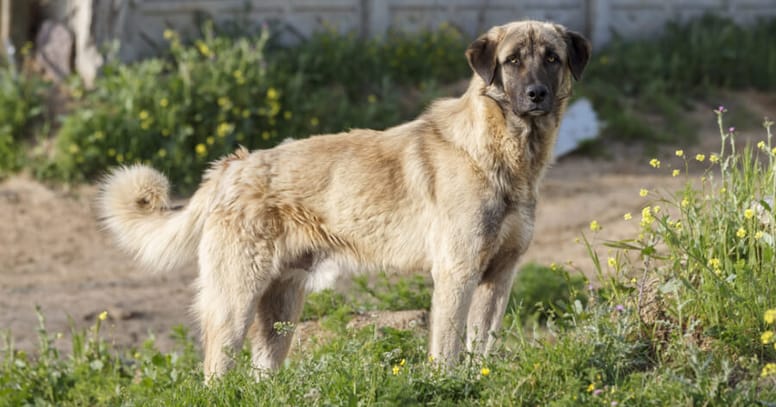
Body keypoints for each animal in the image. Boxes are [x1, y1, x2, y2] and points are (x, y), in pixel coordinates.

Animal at [100, 19, 592, 382]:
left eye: (552, 59)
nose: (536, 95)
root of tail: (231, 166)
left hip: (280, 310)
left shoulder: (499, 276)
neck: (500, 152)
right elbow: (448, 347)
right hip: (234, 301)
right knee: (214, 372)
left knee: (262, 373)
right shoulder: (458, 272)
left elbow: (481, 345)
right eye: (513, 61)